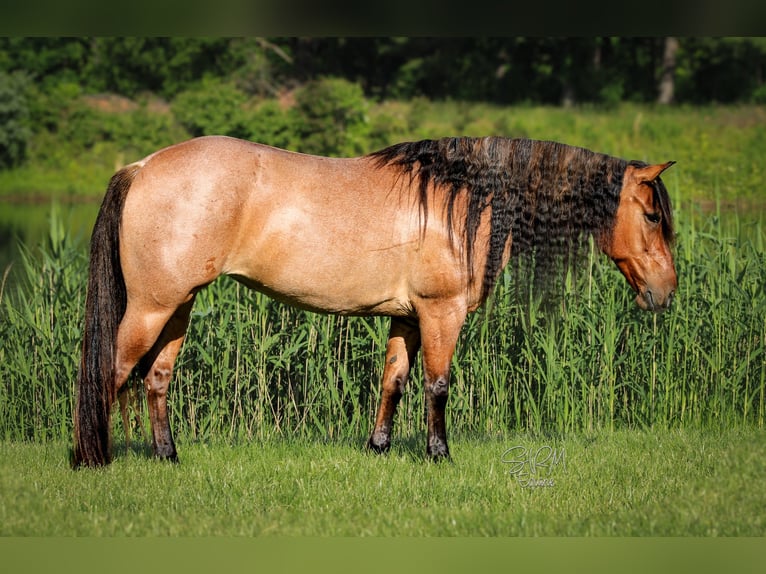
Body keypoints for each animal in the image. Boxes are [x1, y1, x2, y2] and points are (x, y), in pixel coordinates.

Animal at [72, 135, 676, 468]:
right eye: (651, 215)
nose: (665, 294)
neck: (462, 200)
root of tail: (143, 166)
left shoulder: (407, 318)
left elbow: (394, 381)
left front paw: (379, 447)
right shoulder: (440, 312)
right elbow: (437, 384)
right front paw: (439, 454)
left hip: (178, 307)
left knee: (156, 377)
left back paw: (168, 455)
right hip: (151, 308)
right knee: (110, 371)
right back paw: (89, 459)